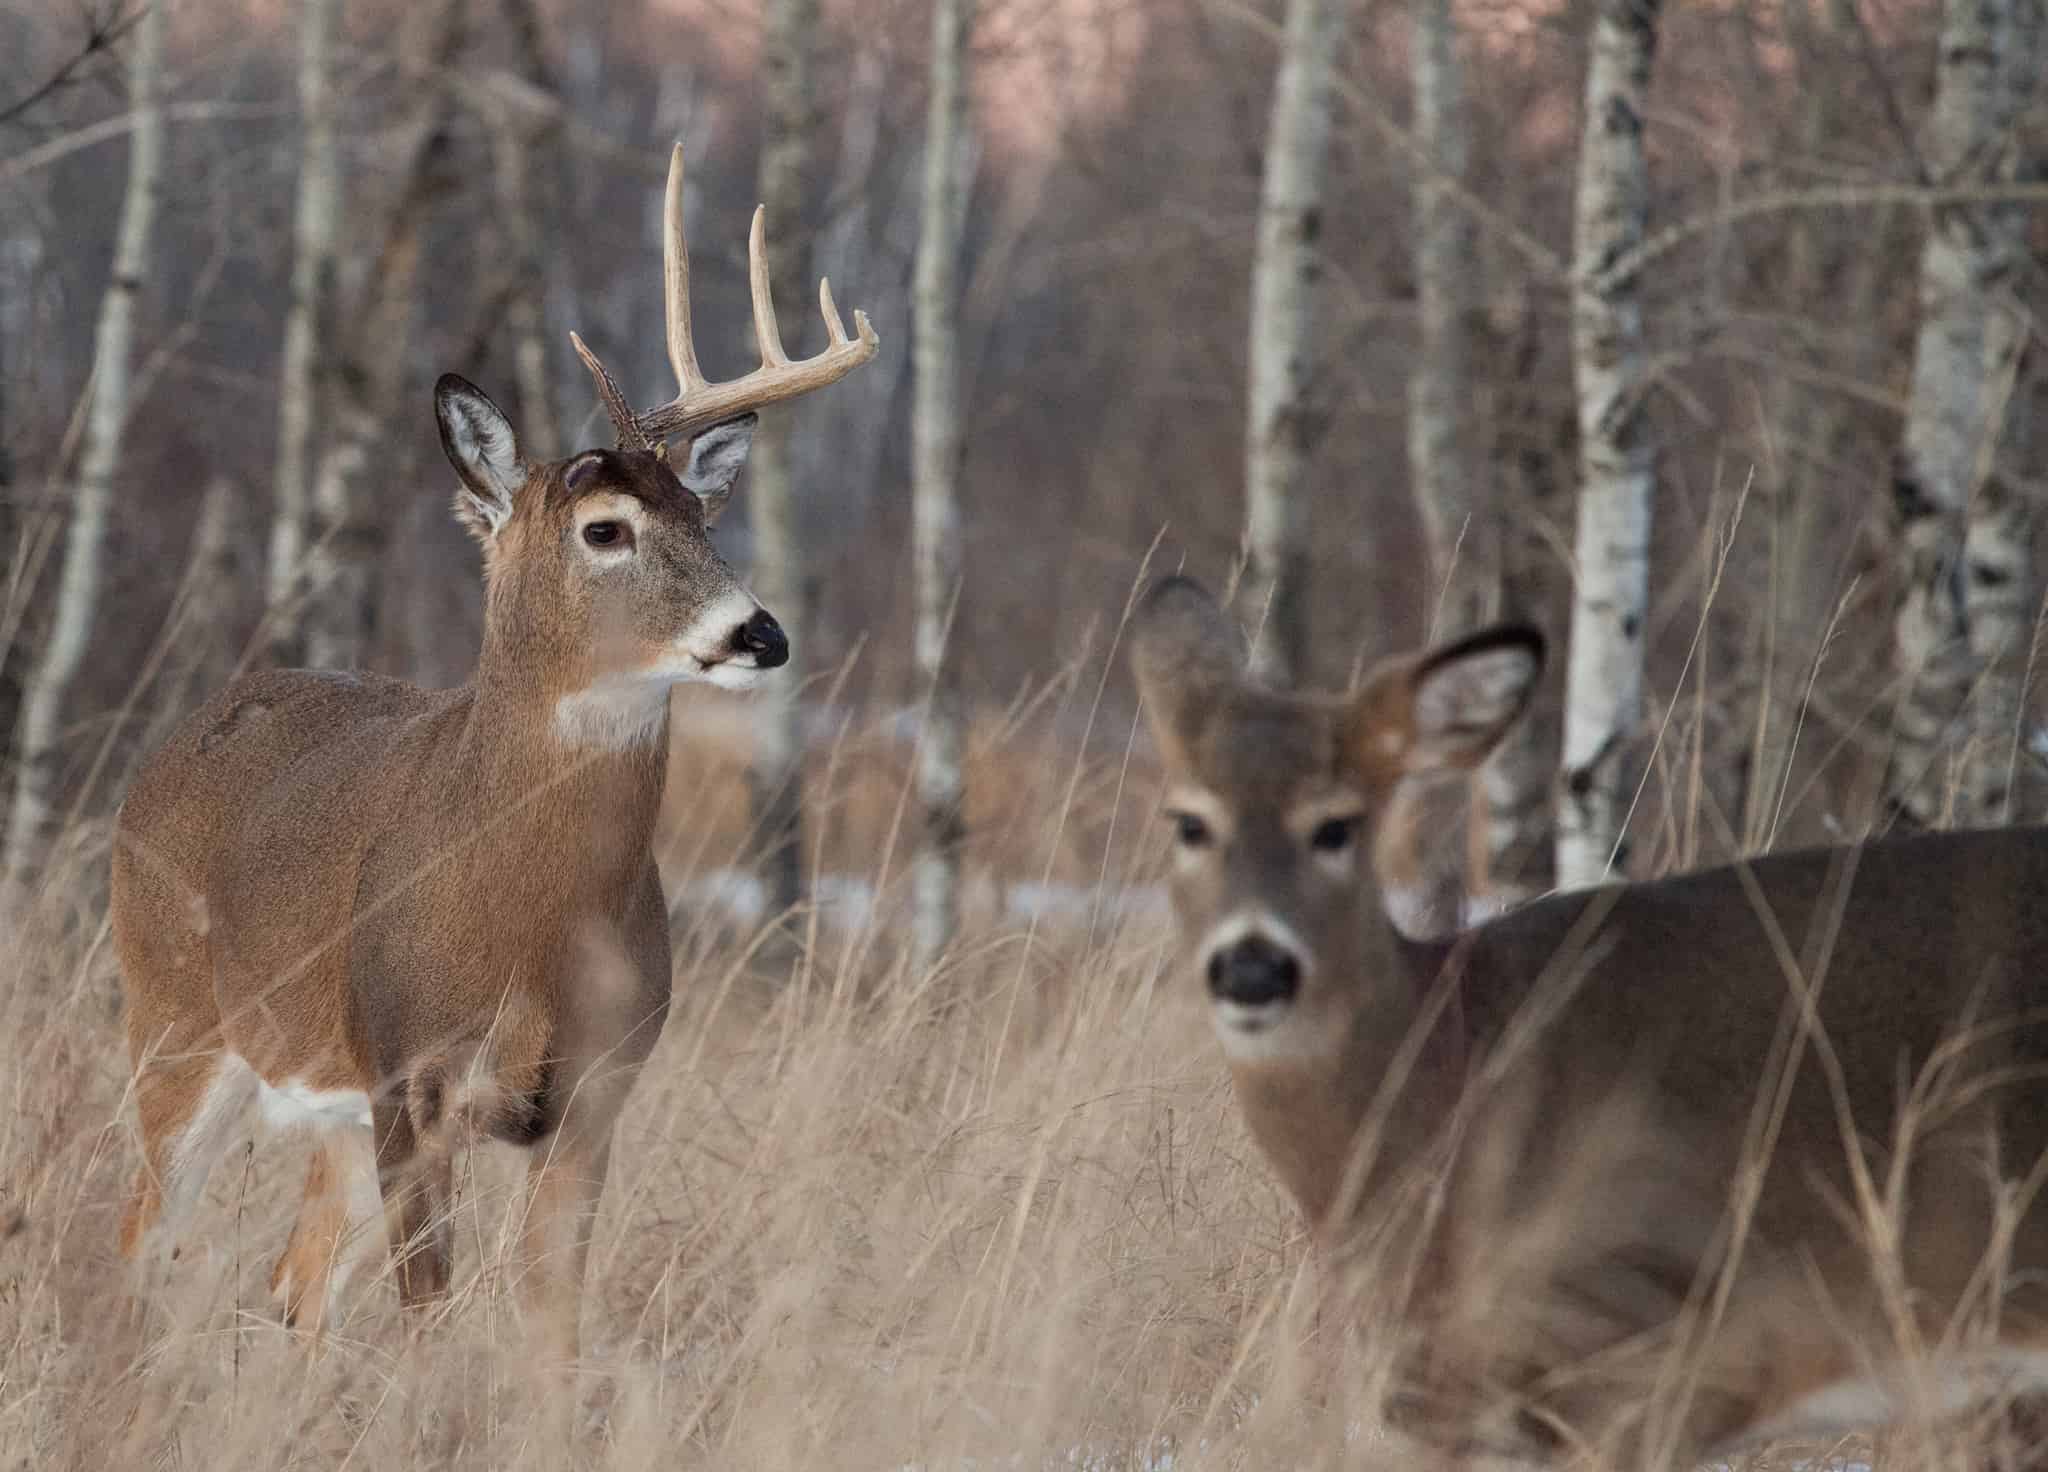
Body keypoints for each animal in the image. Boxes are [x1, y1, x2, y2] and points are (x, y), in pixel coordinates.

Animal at [112, 144, 876, 1367]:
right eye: (604, 528)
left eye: (705, 521)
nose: (760, 633)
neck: (527, 925)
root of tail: (180, 735)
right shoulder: (411, 1079)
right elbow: (428, 1319)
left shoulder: (598, 1092)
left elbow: (549, 1331)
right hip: (174, 1021)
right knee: (131, 1244)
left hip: (320, 1104)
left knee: (290, 1283)